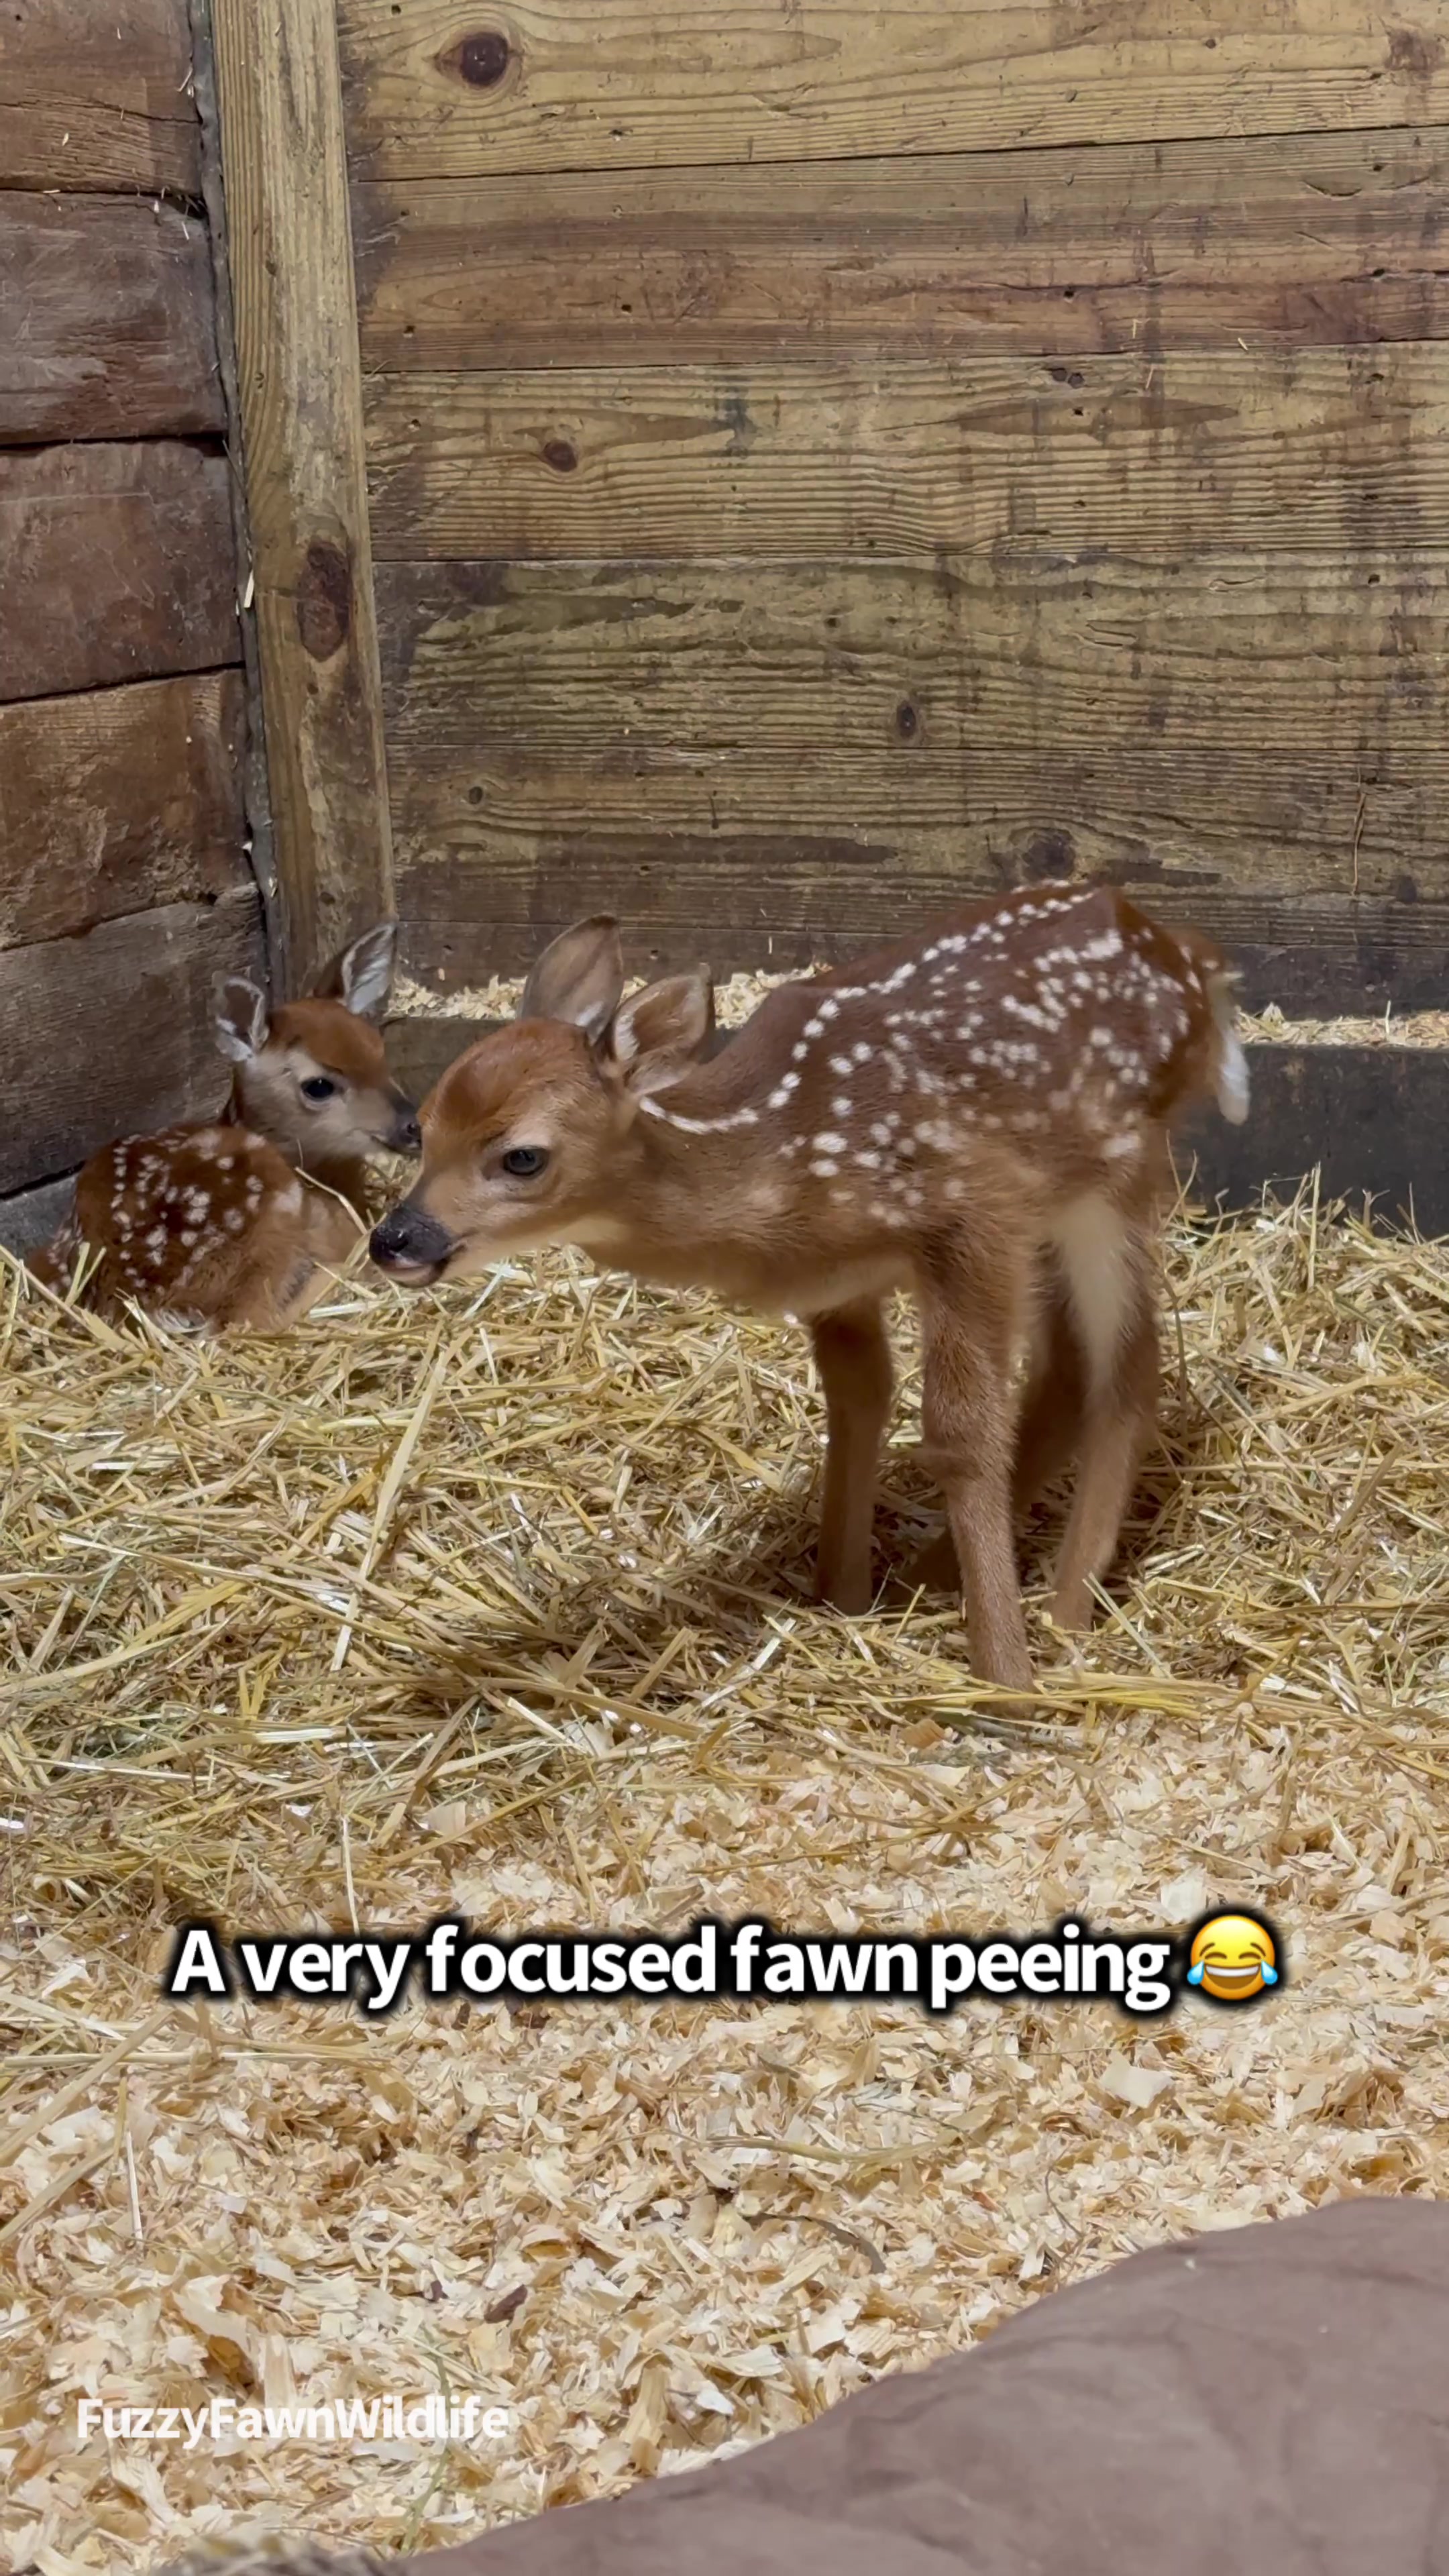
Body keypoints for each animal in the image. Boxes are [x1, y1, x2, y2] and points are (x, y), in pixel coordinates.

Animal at [369, 885, 1250, 1689]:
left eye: (522, 1157)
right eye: (424, 1125)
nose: (394, 1240)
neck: (782, 1155)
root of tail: (1191, 954)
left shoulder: (970, 1219)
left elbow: (961, 1437)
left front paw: (1004, 1675)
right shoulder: (842, 1280)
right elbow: (857, 1404)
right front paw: (842, 1597)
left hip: (1115, 1175)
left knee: (1129, 1364)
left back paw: (1066, 1613)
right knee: (1069, 1367)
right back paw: (936, 1576)